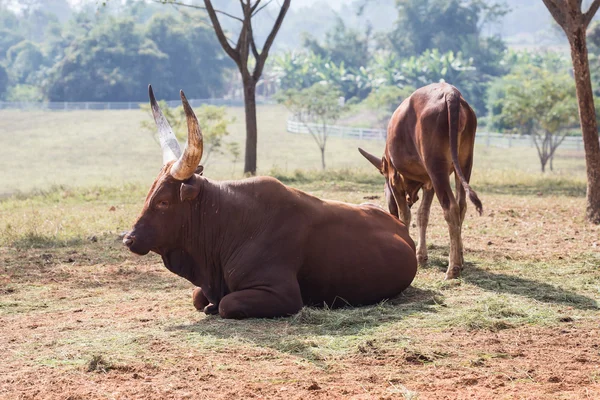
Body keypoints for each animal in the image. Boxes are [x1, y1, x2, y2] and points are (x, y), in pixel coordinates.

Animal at [122, 85, 418, 318]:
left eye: (163, 202)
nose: (129, 239)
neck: (226, 222)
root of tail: (401, 227)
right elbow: (197, 297)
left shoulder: (282, 294)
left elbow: (227, 304)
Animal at [356, 83, 482, 280]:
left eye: (383, 176)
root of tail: (450, 93)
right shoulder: (429, 183)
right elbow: (422, 215)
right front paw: (421, 256)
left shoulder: (395, 180)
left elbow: (405, 215)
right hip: (464, 163)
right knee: (461, 205)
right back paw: (460, 260)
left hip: (436, 167)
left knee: (451, 208)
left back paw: (453, 268)